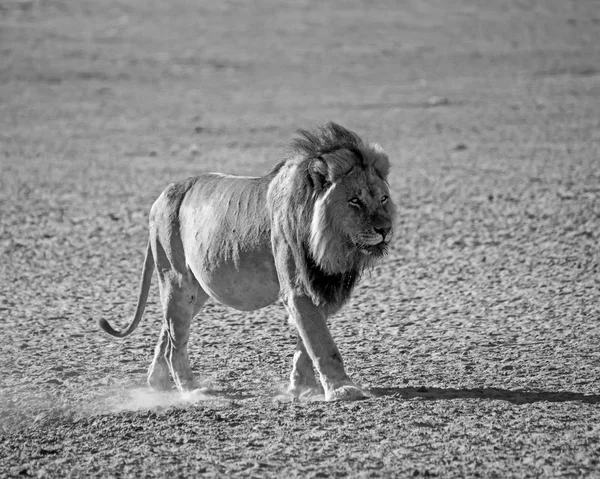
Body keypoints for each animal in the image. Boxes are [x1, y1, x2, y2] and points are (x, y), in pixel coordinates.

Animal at [100, 123, 396, 402]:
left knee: (166, 331)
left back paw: (157, 383)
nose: (385, 229)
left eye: (383, 199)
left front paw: (300, 388)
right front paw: (342, 389)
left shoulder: (318, 287)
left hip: (197, 290)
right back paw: (192, 391)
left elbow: (306, 343)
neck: (332, 248)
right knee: (175, 343)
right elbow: (323, 344)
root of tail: (163, 195)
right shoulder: (299, 288)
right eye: (355, 201)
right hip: (176, 278)